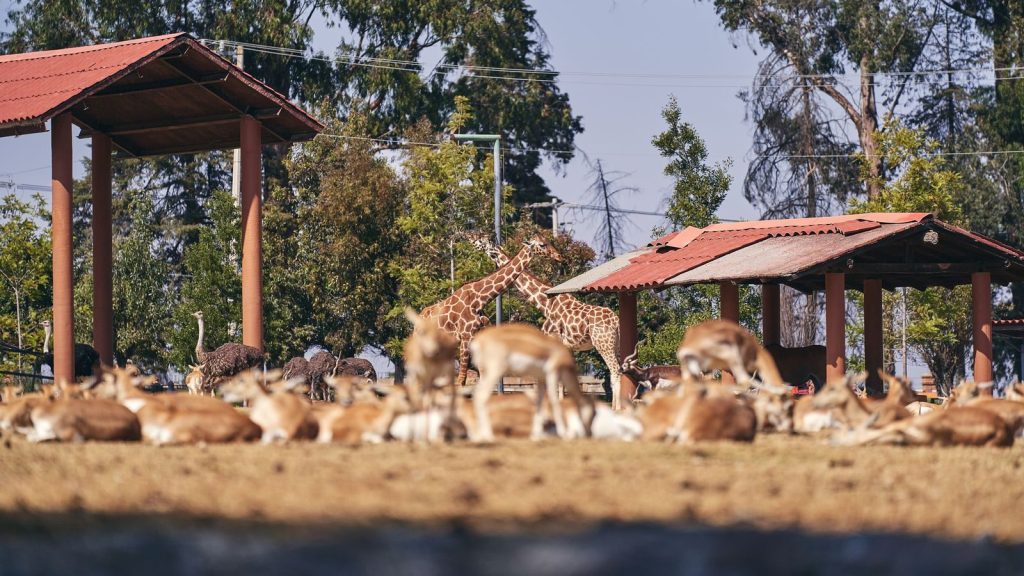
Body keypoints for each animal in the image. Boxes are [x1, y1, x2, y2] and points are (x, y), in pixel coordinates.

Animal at [422, 236, 559, 387]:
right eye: (542, 245)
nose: (558, 256)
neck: (479, 300)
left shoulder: (479, 334)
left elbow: (481, 376)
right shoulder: (465, 335)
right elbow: (461, 380)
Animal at [468, 237, 625, 411]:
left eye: (487, 246)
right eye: (543, 244)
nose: (559, 257)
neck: (546, 305)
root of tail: (616, 322)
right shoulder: (565, 347)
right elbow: (562, 382)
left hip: (603, 343)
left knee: (615, 371)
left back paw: (617, 408)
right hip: (615, 344)